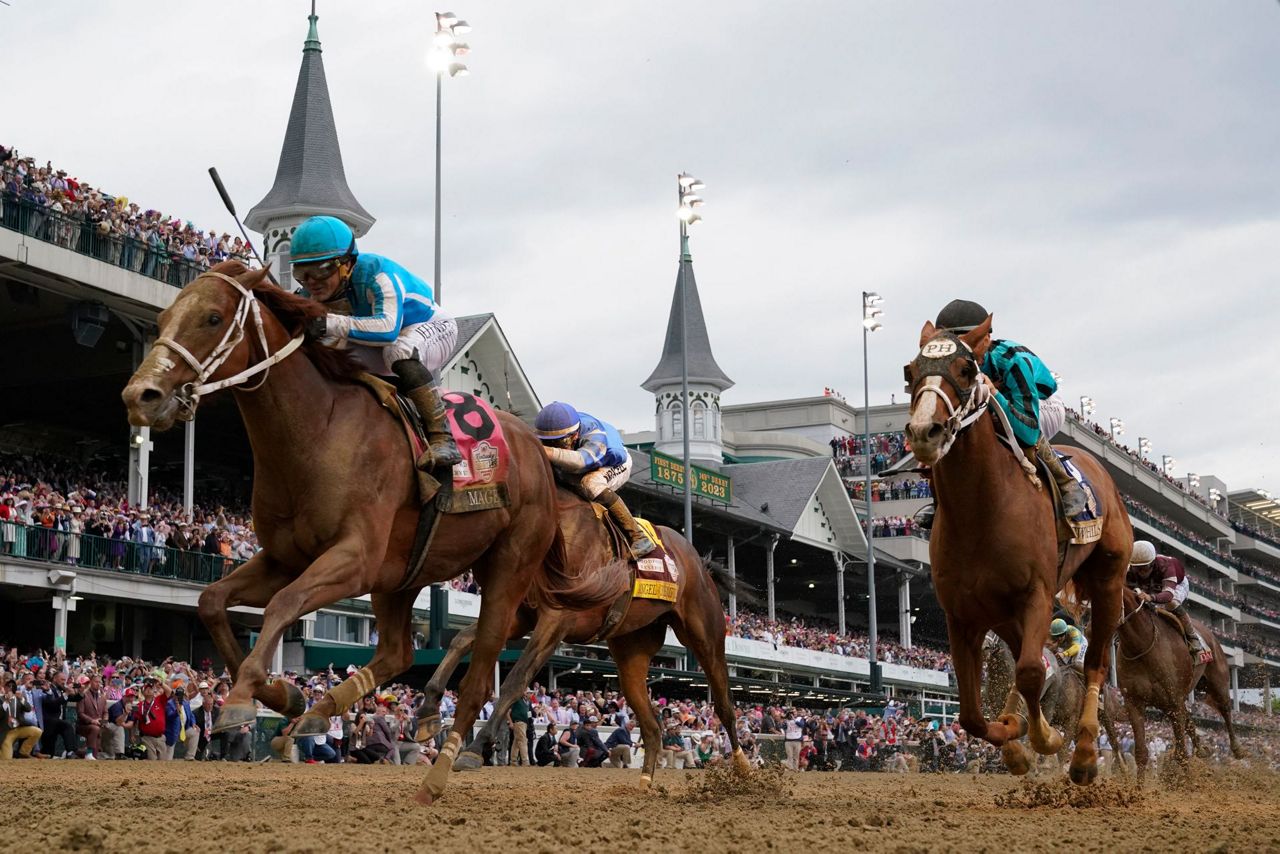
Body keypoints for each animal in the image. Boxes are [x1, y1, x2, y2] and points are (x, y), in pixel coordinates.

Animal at [119, 263, 599, 804]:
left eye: (213, 317)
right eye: (163, 319)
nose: (141, 396)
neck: (318, 431)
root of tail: (538, 452)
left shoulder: (354, 558)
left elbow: (284, 603)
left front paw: (244, 696)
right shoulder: (284, 557)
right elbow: (211, 602)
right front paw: (284, 695)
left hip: (506, 571)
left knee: (481, 677)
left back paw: (442, 769)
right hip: (404, 575)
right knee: (398, 652)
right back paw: (325, 715)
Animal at [409, 491, 747, 783]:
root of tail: (700, 564)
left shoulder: (557, 617)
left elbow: (516, 679)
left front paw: (476, 747)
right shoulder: (522, 615)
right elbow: (462, 639)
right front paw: (427, 711)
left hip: (706, 636)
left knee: (724, 704)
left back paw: (744, 770)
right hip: (631, 649)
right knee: (652, 725)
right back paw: (644, 784)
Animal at [901, 317, 1131, 783]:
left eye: (967, 370)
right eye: (909, 373)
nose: (923, 432)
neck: (981, 511)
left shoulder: (1037, 595)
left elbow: (1029, 672)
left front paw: (1046, 740)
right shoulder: (962, 614)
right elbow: (971, 713)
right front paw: (1015, 741)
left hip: (1109, 581)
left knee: (1096, 663)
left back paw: (1084, 755)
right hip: (1005, 614)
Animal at [1116, 588, 1244, 773]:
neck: (1141, 646)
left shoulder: (1173, 700)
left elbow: (1182, 753)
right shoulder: (1134, 701)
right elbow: (1141, 752)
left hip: (1217, 682)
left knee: (1225, 709)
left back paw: (1237, 749)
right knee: (1189, 720)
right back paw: (1201, 749)